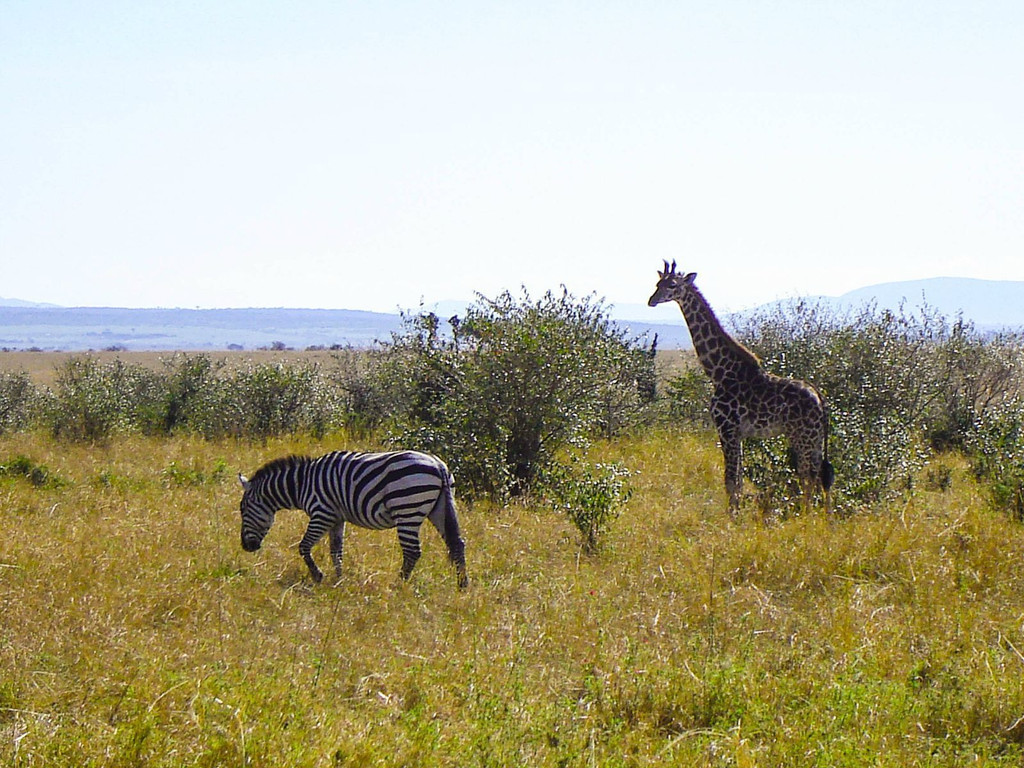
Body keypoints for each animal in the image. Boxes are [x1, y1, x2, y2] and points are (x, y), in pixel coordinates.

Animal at [237, 450, 466, 589]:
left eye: (243, 510)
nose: (246, 547)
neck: (302, 484)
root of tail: (438, 465)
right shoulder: (337, 518)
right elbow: (336, 551)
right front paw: (339, 580)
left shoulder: (322, 513)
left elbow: (304, 547)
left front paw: (318, 576)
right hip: (439, 508)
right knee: (457, 544)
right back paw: (462, 585)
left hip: (407, 508)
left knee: (412, 552)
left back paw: (398, 584)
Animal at [647, 260, 831, 518]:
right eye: (657, 284)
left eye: (672, 285)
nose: (651, 300)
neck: (719, 372)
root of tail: (820, 400)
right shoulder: (738, 433)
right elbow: (739, 481)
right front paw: (736, 515)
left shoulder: (727, 428)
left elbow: (730, 481)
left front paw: (731, 519)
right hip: (814, 439)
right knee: (820, 477)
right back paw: (820, 517)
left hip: (803, 436)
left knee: (808, 477)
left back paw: (806, 517)